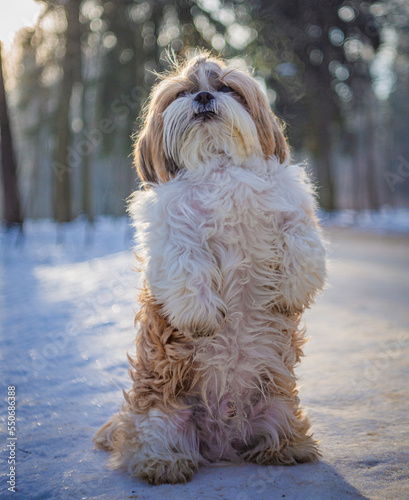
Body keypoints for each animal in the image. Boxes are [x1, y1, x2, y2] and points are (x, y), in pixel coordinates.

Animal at [94, 51, 326, 484]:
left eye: (226, 88)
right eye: (183, 93)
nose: (203, 96)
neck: (219, 166)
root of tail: (222, 440)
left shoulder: (289, 207)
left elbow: (301, 239)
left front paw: (290, 293)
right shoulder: (172, 232)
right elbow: (187, 268)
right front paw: (202, 317)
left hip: (278, 404)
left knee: (276, 429)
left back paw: (287, 448)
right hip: (162, 411)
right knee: (152, 439)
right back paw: (163, 462)